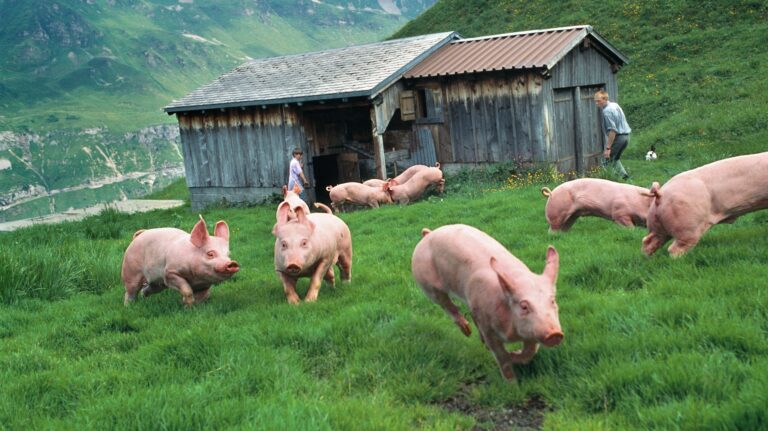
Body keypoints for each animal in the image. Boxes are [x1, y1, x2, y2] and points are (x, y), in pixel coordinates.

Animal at [412, 226, 560, 382]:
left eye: (552, 301)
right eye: (524, 306)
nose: (555, 334)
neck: (512, 333)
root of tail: (428, 234)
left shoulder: (533, 331)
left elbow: (530, 352)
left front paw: (513, 355)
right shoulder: (488, 327)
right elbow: (501, 356)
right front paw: (512, 383)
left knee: (470, 313)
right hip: (427, 285)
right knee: (447, 305)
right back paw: (467, 331)